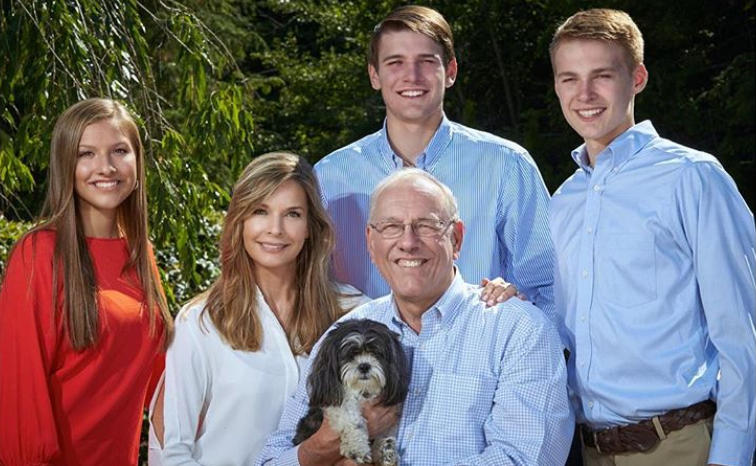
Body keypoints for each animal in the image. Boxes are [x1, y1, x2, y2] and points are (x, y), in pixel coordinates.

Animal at [292, 318, 410, 464]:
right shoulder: (336, 403)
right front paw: (357, 447)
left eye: (376, 353)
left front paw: (384, 451)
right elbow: (352, 419)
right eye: (350, 354)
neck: (363, 391)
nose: (364, 366)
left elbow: (384, 433)